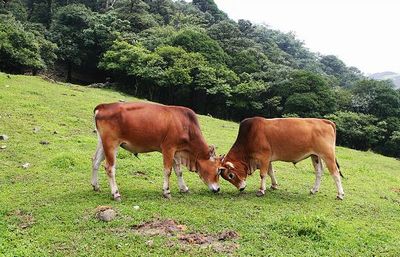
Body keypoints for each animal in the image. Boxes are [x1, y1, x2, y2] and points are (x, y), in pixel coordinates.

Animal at [92, 100, 220, 200]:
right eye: (219, 170)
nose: (218, 189)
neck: (187, 126)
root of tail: (103, 106)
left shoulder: (176, 152)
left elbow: (179, 171)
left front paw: (184, 188)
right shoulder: (168, 148)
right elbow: (168, 171)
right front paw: (167, 192)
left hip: (102, 142)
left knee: (95, 161)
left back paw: (95, 186)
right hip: (111, 144)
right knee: (110, 168)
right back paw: (116, 193)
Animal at [217, 117, 346, 199]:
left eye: (231, 175)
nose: (241, 188)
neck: (250, 135)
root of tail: (326, 121)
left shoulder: (264, 157)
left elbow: (263, 174)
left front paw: (261, 190)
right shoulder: (268, 159)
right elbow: (270, 172)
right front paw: (274, 185)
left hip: (328, 155)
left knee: (335, 173)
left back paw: (340, 194)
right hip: (315, 156)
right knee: (319, 172)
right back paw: (314, 190)